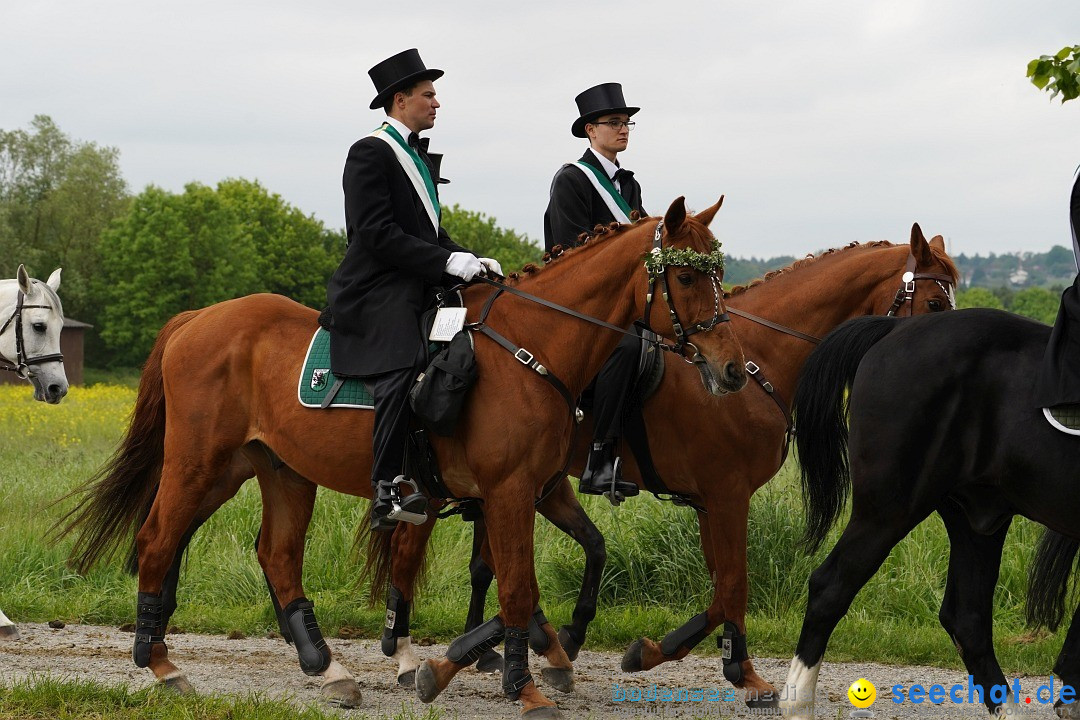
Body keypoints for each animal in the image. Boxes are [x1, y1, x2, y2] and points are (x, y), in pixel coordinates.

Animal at [61, 198, 751, 720]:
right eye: (687, 276)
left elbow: (512, 581)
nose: (730, 371)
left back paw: (327, 669)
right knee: (158, 540)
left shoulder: (524, 492)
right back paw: (160, 665)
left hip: (273, 470)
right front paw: (523, 686)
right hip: (199, 464)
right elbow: (517, 588)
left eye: (717, 272)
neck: (531, 347)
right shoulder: (508, 491)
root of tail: (199, 318)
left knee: (274, 555)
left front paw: (478, 663)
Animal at [451, 222, 959, 699]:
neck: (758, 358)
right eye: (936, 303)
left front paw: (665, 652)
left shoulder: (711, 502)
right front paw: (742, 671)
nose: (946, 360)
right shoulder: (728, 495)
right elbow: (734, 584)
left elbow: (721, 589)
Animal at [777, 310, 1080, 720]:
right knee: (831, 587)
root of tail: (897, 327)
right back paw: (797, 703)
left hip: (976, 519)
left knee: (966, 618)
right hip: (888, 511)